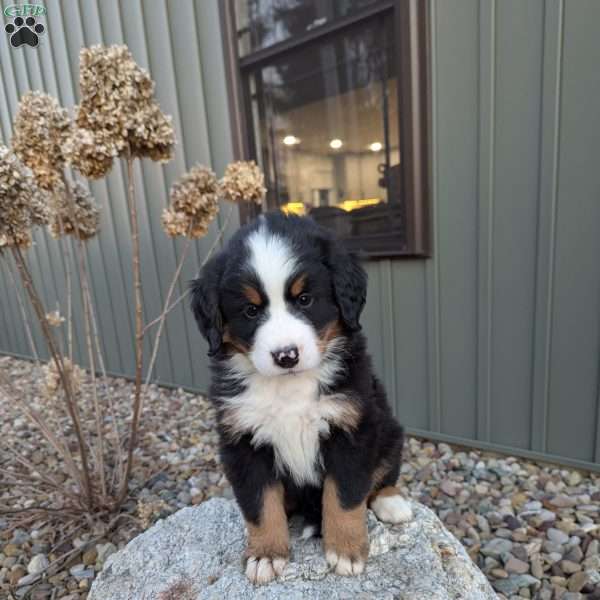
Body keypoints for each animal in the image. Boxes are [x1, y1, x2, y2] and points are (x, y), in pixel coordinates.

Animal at [190, 211, 410, 580]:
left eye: (305, 299)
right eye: (251, 311)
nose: (286, 355)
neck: (289, 388)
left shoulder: (351, 429)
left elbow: (345, 496)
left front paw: (346, 550)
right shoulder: (243, 441)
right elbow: (260, 505)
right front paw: (266, 554)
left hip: (390, 431)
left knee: (383, 474)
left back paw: (391, 502)